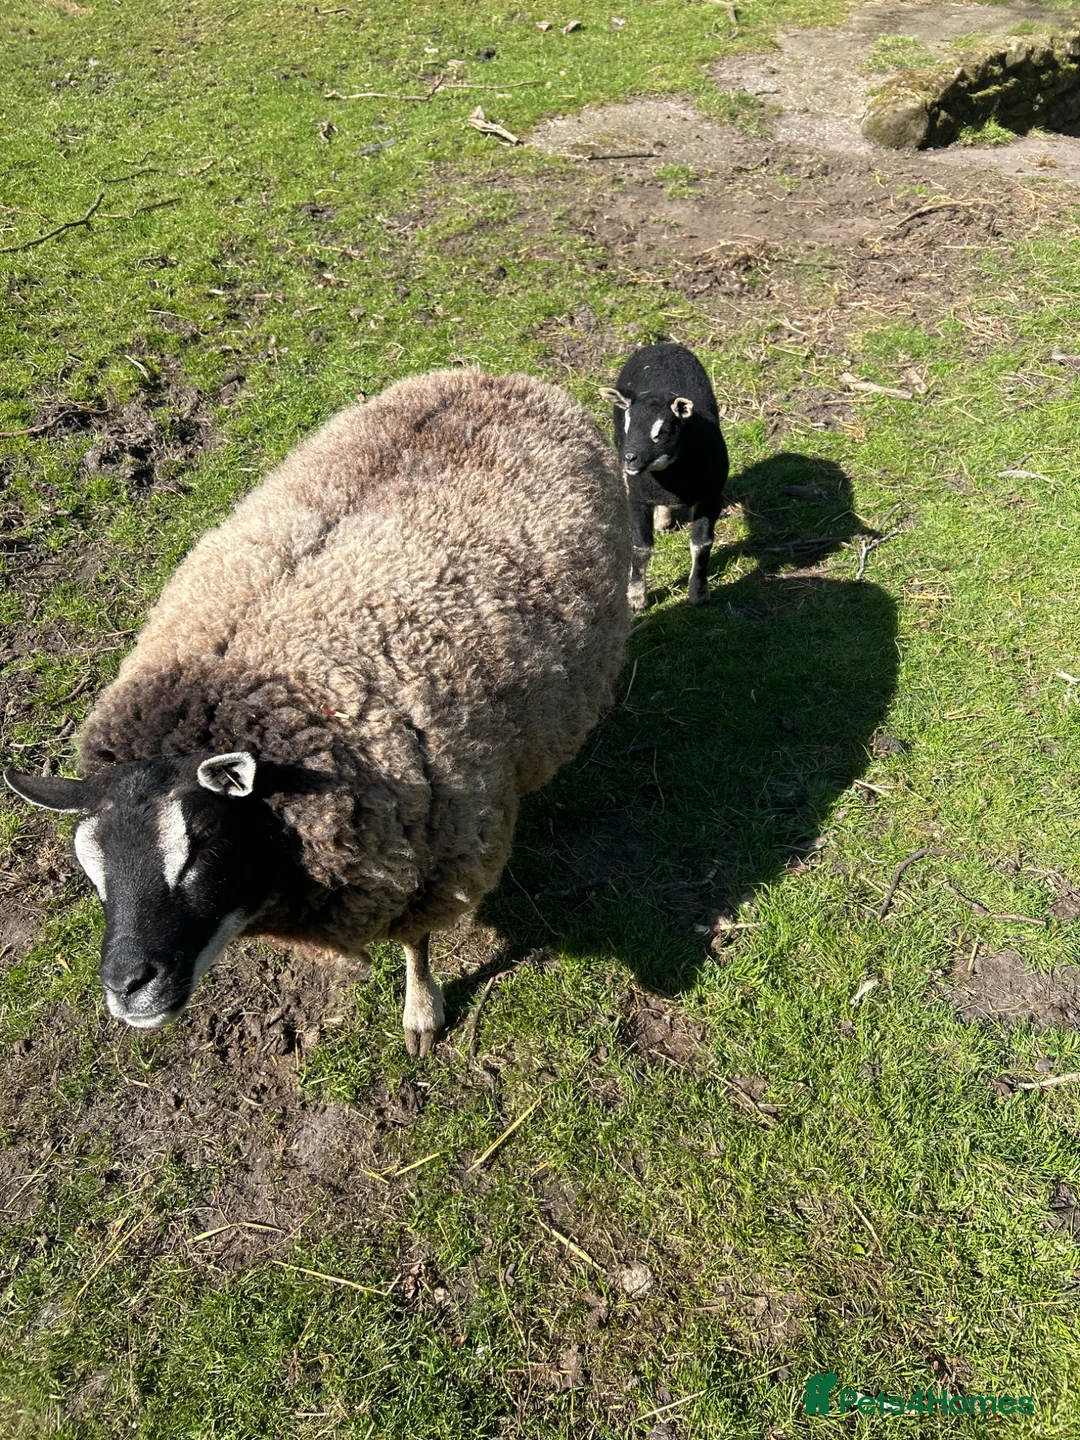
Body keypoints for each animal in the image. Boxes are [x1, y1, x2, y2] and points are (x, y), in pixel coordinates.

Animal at [3, 368, 630, 1057]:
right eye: (91, 869)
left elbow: (417, 944)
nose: (126, 986)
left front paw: (421, 1013)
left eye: (203, 849)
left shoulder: (431, 857)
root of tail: (497, 376)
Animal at [600, 342, 729, 610]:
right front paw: (636, 597)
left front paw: (699, 592)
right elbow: (640, 548)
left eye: (663, 431)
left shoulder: (711, 497)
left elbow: (702, 545)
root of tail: (662, 345)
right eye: (627, 424)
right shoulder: (638, 497)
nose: (630, 457)